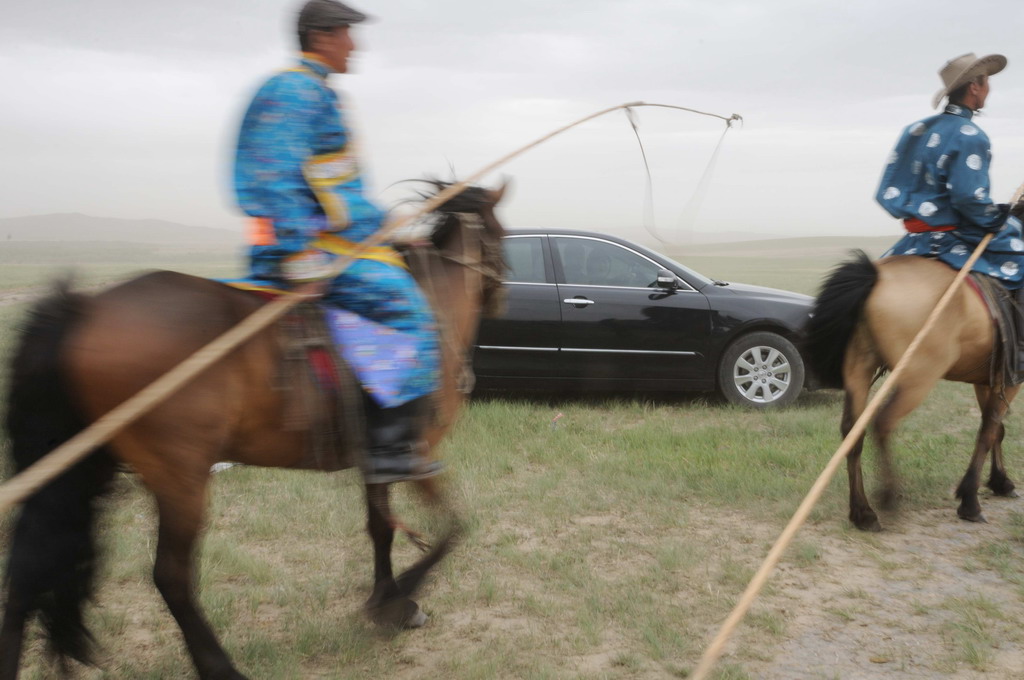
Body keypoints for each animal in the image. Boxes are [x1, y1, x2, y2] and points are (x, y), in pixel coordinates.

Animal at [0, 182, 507, 680]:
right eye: (502, 233)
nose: (501, 294)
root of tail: (85, 308)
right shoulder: (418, 451)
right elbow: (453, 526)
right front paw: (403, 598)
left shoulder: (377, 457)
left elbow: (380, 527)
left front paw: (385, 600)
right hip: (180, 478)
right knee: (170, 575)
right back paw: (220, 666)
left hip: (83, 468)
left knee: (29, 568)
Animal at [806, 249, 1015, 532]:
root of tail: (877, 276)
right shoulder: (1011, 379)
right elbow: (989, 431)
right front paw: (970, 501)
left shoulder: (987, 379)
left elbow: (996, 430)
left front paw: (1000, 481)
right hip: (918, 376)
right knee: (883, 423)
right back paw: (888, 497)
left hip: (859, 366)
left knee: (853, 431)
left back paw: (863, 512)